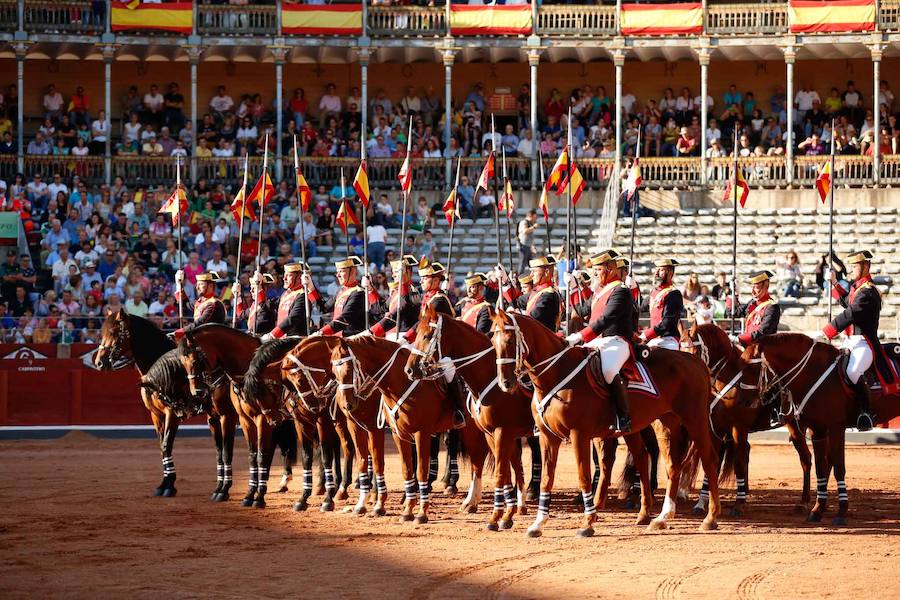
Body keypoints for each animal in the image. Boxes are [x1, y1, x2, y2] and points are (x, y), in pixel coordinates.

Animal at [94, 312, 234, 500]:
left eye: (114, 333)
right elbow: (162, 447)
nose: (99, 362)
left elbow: (167, 444)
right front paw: (164, 483)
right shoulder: (156, 415)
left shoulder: (172, 413)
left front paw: (169, 486)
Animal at [328, 336, 488, 524]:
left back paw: (470, 500)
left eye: (349, 368)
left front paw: (420, 512)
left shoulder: (414, 432)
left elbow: (419, 470)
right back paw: (471, 501)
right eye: (333, 370)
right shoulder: (391, 433)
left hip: (470, 429)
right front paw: (400, 508)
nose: (347, 404)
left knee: (477, 458)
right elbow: (400, 468)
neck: (400, 382)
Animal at [488, 312, 720, 536]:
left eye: (510, 340)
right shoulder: (548, 437)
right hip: (664, 424)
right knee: (667, 464)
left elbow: (583, 476)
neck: (558, 373)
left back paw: (710, 518)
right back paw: (659, 517)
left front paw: (588, 523)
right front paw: (538, 524)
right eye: (493, 341)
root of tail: (695, 360)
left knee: (709, 460)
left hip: (695, 420)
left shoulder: (578, 434)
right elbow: (547, 478)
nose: (505, 383)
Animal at [680, 324, 812, 516]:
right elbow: (711, 463)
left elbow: (739, 463)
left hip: (795, 425)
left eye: (695, 350)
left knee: (806, 458)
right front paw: (702, 502)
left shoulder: (738, 428)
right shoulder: (715, 429)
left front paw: (739, 504)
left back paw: (804, 501)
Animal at [740, 332, 900, 524]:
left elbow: (838, 468)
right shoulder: (817, 430)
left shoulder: (836, 427)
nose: (744, 402)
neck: (813, 373)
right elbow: (820, 467)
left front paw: (841, 512)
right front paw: (818, 509)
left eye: (750, 368)